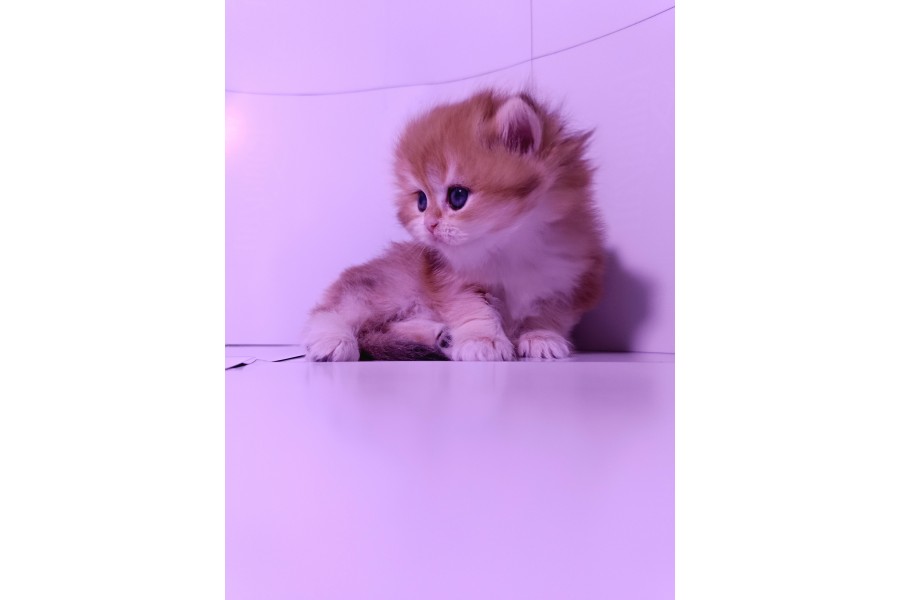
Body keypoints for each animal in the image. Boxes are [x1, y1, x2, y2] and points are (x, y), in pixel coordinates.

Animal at [303, 89, 604, 361]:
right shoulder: (451, 281)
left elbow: (547, 314)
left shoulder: (570, 279)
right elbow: (474, 309)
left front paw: (541, 337)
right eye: (421, 201)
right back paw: (333, 341)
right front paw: (483, 340)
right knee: (333, 313)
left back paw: (440, 337)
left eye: (457, 196)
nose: (429, 224)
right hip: (390, 287)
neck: (512, 246)